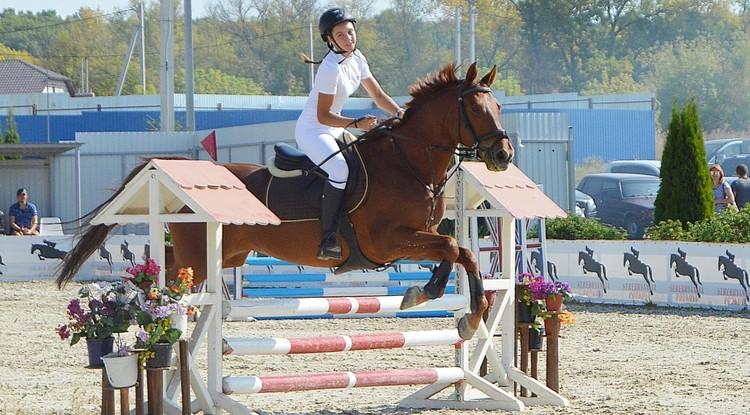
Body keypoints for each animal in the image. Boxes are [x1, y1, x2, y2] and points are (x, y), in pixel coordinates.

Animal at [57, 63, 516, 340]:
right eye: (477, 109)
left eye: (497, 104)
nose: (503, 155)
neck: (407, 161)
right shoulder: (387, 241)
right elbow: (455, 248)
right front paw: (437, 299)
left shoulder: (419, 235)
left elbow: (460, 253)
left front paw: (465, 311)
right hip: (201, 255)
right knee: (168, 283)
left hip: (224, 254)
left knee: (163, 272)